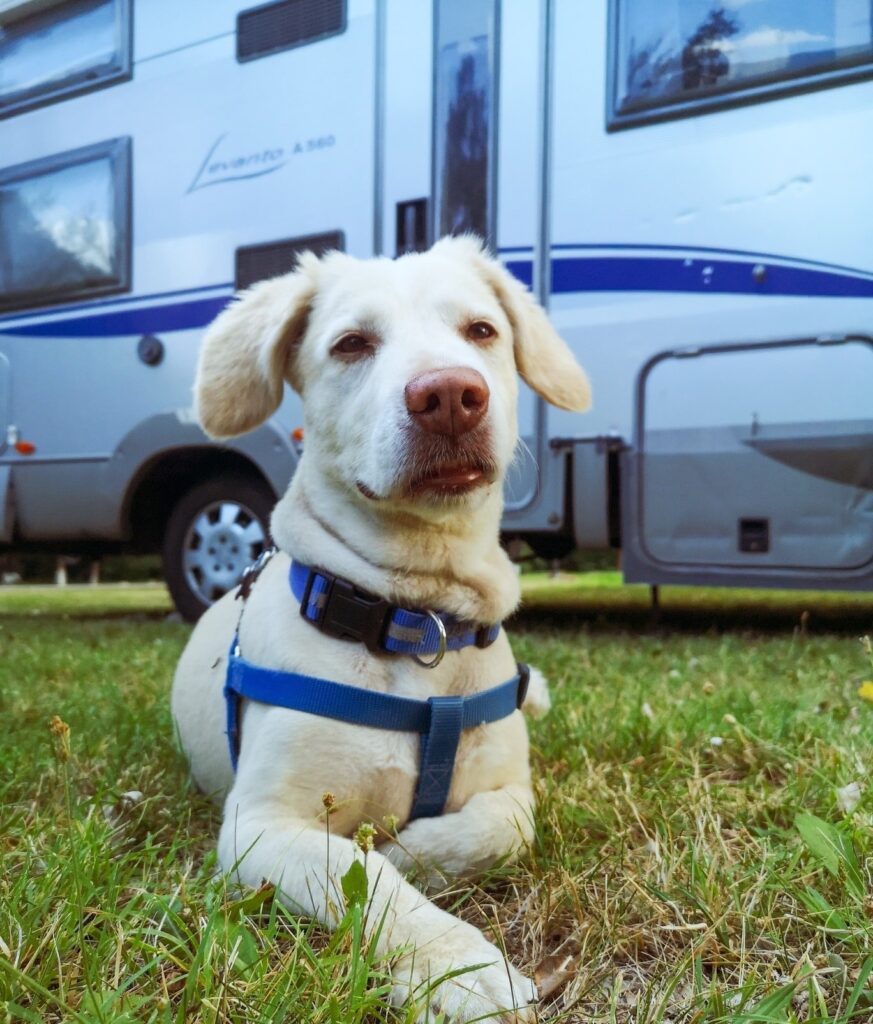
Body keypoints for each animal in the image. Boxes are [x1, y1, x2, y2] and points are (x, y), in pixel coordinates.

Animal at [171, 236, 591, 1022]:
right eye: (351, 344)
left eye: (481, 331)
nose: (450, 395)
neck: (417, 621)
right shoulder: (261, 824)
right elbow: (368, 886)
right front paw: (460, 969)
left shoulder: (513, 791)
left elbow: (500, 829)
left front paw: (410, 849)